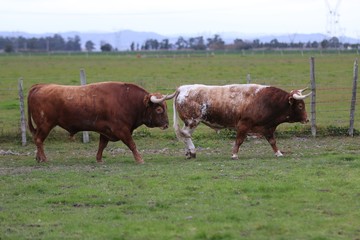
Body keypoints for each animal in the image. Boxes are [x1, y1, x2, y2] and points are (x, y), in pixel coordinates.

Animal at [27, 81, 175, 164]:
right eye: (159, 109)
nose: (166, 124)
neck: (127, 100)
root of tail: (39, 86)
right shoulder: (122, 130)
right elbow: (132, 144)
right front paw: (139, 159)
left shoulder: (105, 131)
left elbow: (101, 146)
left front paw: (99, 159)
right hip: (45, 125)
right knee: (39, 140)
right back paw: (44, 159)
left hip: (41, 126)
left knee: (37, 139)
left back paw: (38, 158)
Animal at [173, 84, 310, 159]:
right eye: (300, 106)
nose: (307, 119)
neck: (267, 101)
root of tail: (182, 88)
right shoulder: (244, 125)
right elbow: (239, 140)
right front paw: (234, 154)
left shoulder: (267, 127)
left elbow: (272, 141)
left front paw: (279, 153)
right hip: (192, 121)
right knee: (186, 134)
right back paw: (192, 151)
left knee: (185, 135)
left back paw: (188, 153)